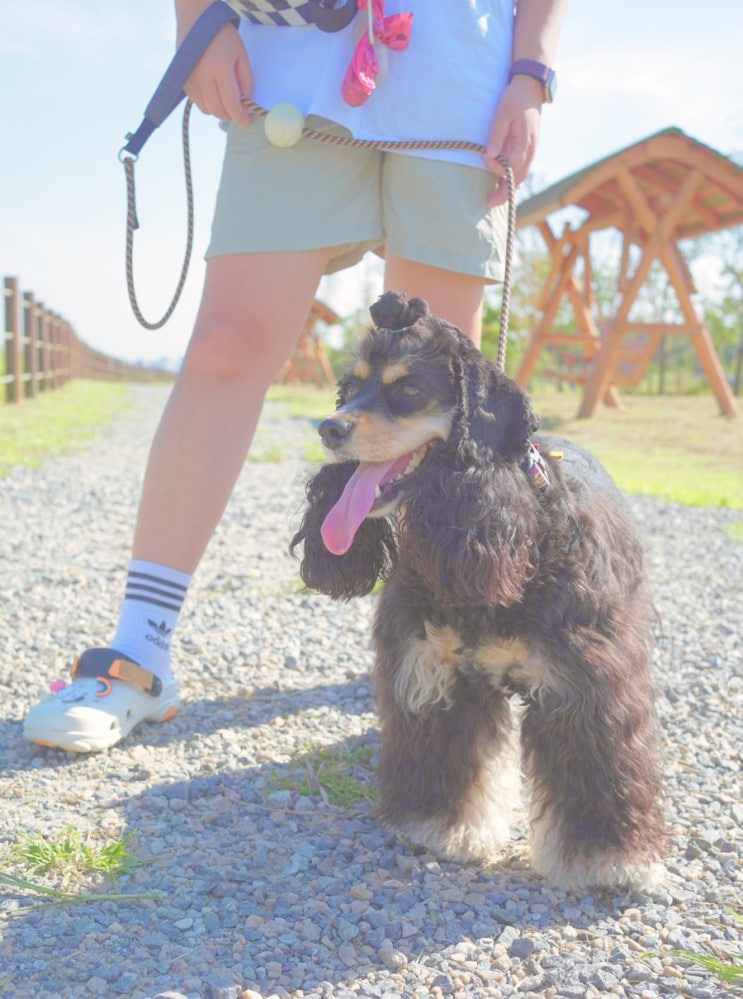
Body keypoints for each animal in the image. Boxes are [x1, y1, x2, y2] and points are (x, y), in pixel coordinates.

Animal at [290, 290, 668, 892]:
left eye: (408, 390)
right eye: (349, 390)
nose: (330, 428)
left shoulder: (584, 688)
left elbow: (598, 773)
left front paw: (609, 862)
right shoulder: (437, 674)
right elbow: (450, 764)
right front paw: (439, 829)